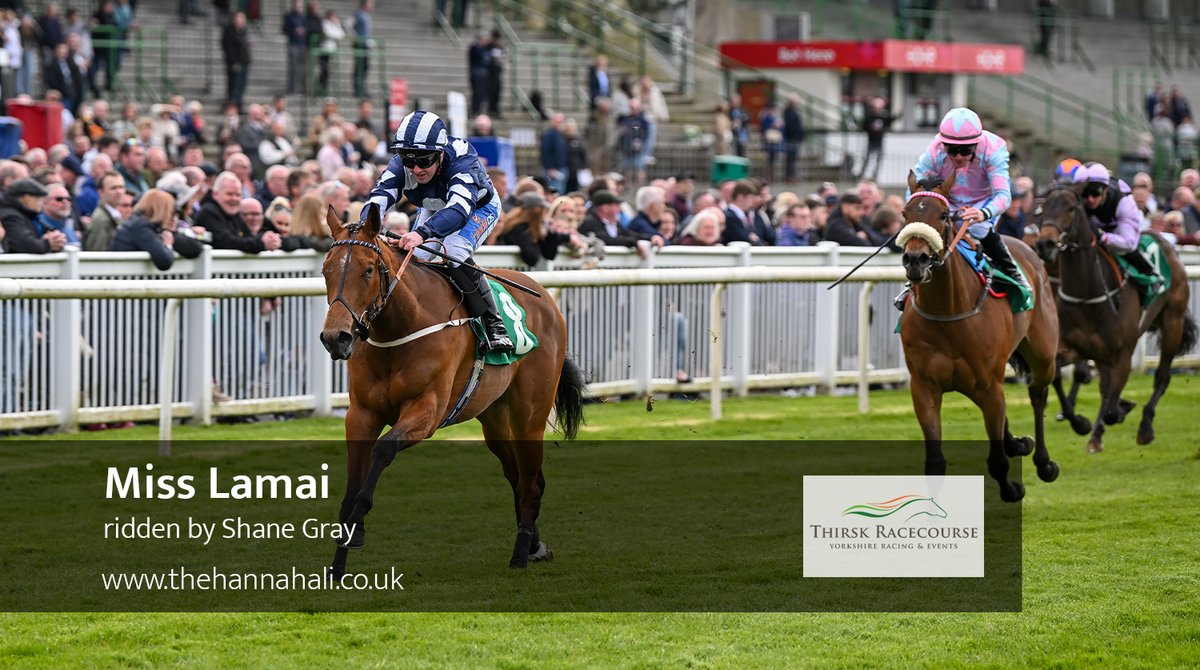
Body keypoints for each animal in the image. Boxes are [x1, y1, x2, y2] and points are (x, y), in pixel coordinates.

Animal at [316, 206, 583, 578]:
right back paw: (534, 545)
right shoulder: (361, 414)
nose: (335, 338)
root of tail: (543, 296)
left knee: (530, 482)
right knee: (518, 477)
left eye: (368, 270)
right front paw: (339, 563)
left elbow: (382, 451)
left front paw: (357, 524)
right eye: (326, 270)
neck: (401, 327)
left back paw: (519, 554)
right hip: (494, 419)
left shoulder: (427, 410)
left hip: (530, 415)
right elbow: (353, 480)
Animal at [902, 176, 1060, 501]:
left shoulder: (989, 384)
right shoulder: (924, 386)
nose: (915, 260)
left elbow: (997, 460)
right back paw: (1018, 442)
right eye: (905, 214)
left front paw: (1012, 489)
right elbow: (934, 464)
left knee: (1037, 394)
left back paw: (1044, 462)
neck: (948, 311)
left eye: (944, 215)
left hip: (1043, 356)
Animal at [1027, 186, 1195, 453]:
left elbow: (1110, 408)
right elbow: (1062, 378)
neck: (1088, 294)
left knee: (1161, 376)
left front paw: (1114, 416)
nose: (1045, 244)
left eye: (1071, 208)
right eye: (1042, 209)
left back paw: (1145, 427)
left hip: (1172, 324)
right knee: (1106, 387)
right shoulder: (1073, 347)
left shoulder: (1122, 354)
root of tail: (1166, 243)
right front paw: (1081, 423)